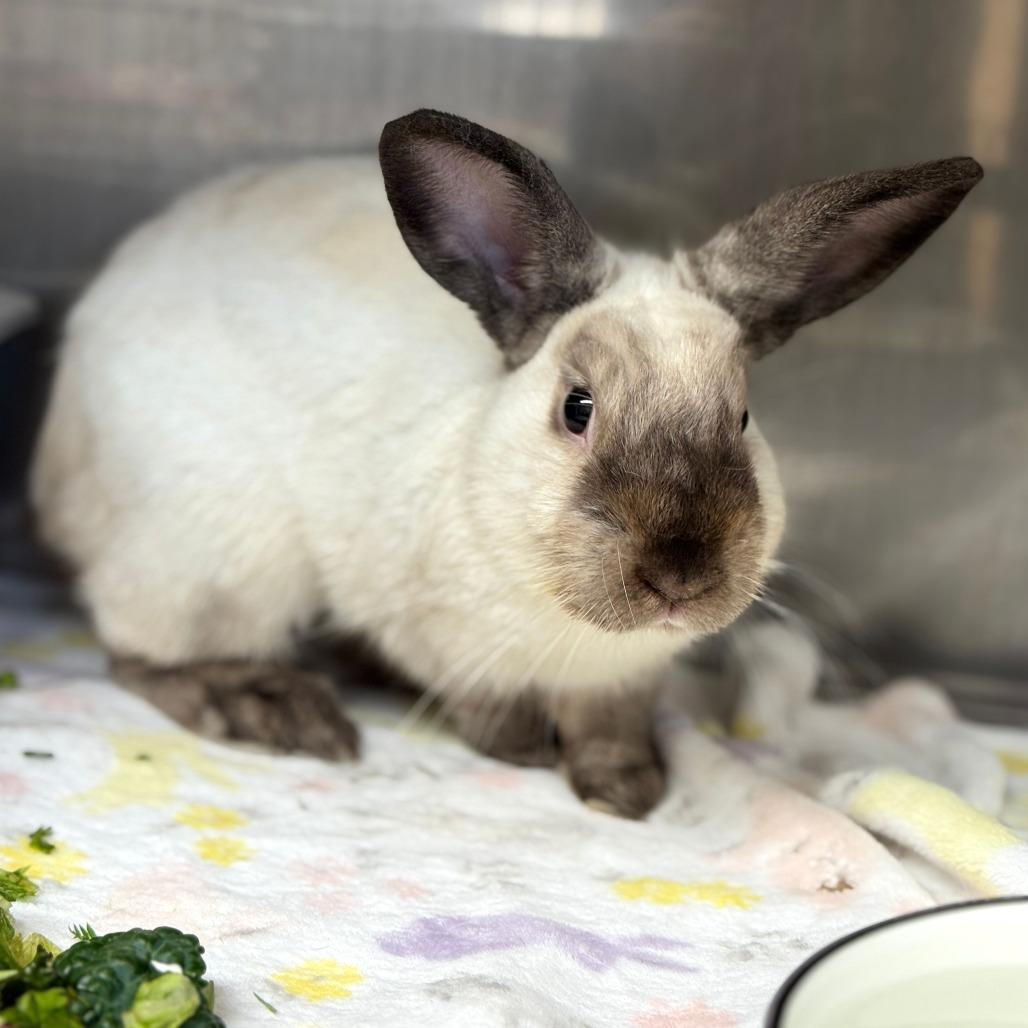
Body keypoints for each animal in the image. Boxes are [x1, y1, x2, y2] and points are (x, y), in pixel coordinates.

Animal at [31, 109, 981, 817]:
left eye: (744, 416)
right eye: (577, 409)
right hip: (220, 559)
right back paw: (277, 710)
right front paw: (525, 751)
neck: (572, 629)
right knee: (140, 655)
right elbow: (486, 705)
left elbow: (610, 728)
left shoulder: (625, 682)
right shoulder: (432, 633)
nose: (680, 574)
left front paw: (625, 790)